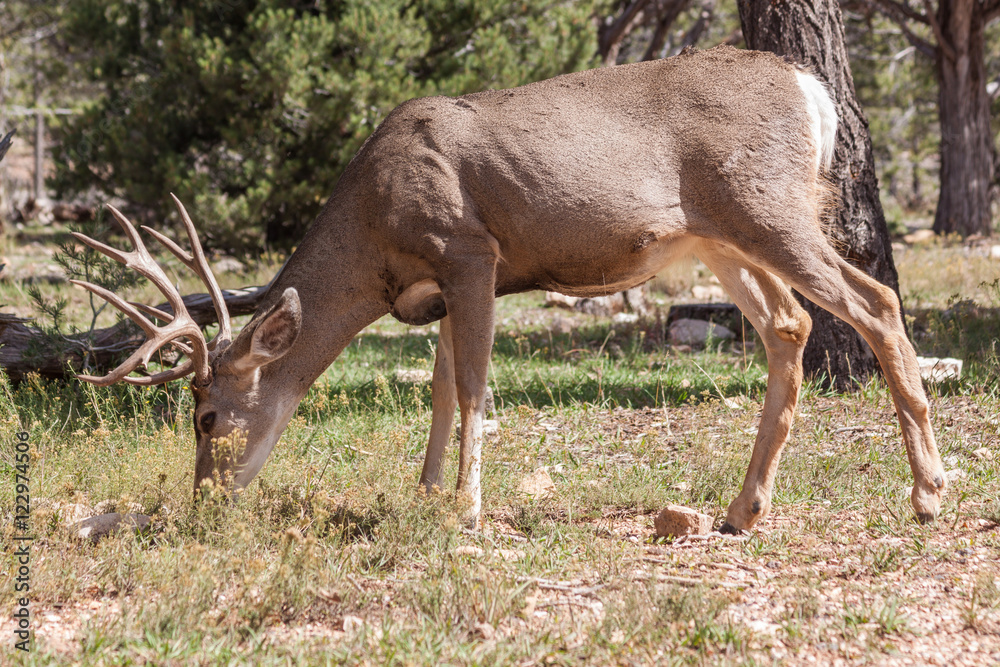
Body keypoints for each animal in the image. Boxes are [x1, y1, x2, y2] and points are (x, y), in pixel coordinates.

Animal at [72, 46, 946, 534]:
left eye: (206, 415)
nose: (205, 500)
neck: (373, 233)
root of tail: (811, 88)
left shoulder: (469, 250)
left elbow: (474, 387)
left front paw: (465, 510)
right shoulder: (435, 289)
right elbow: (438, 386)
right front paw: (426, 495)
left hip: (766, 208)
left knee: (875, 303)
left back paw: (929, 493)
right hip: (720, 236)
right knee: (790, 326)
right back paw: (741, 511)